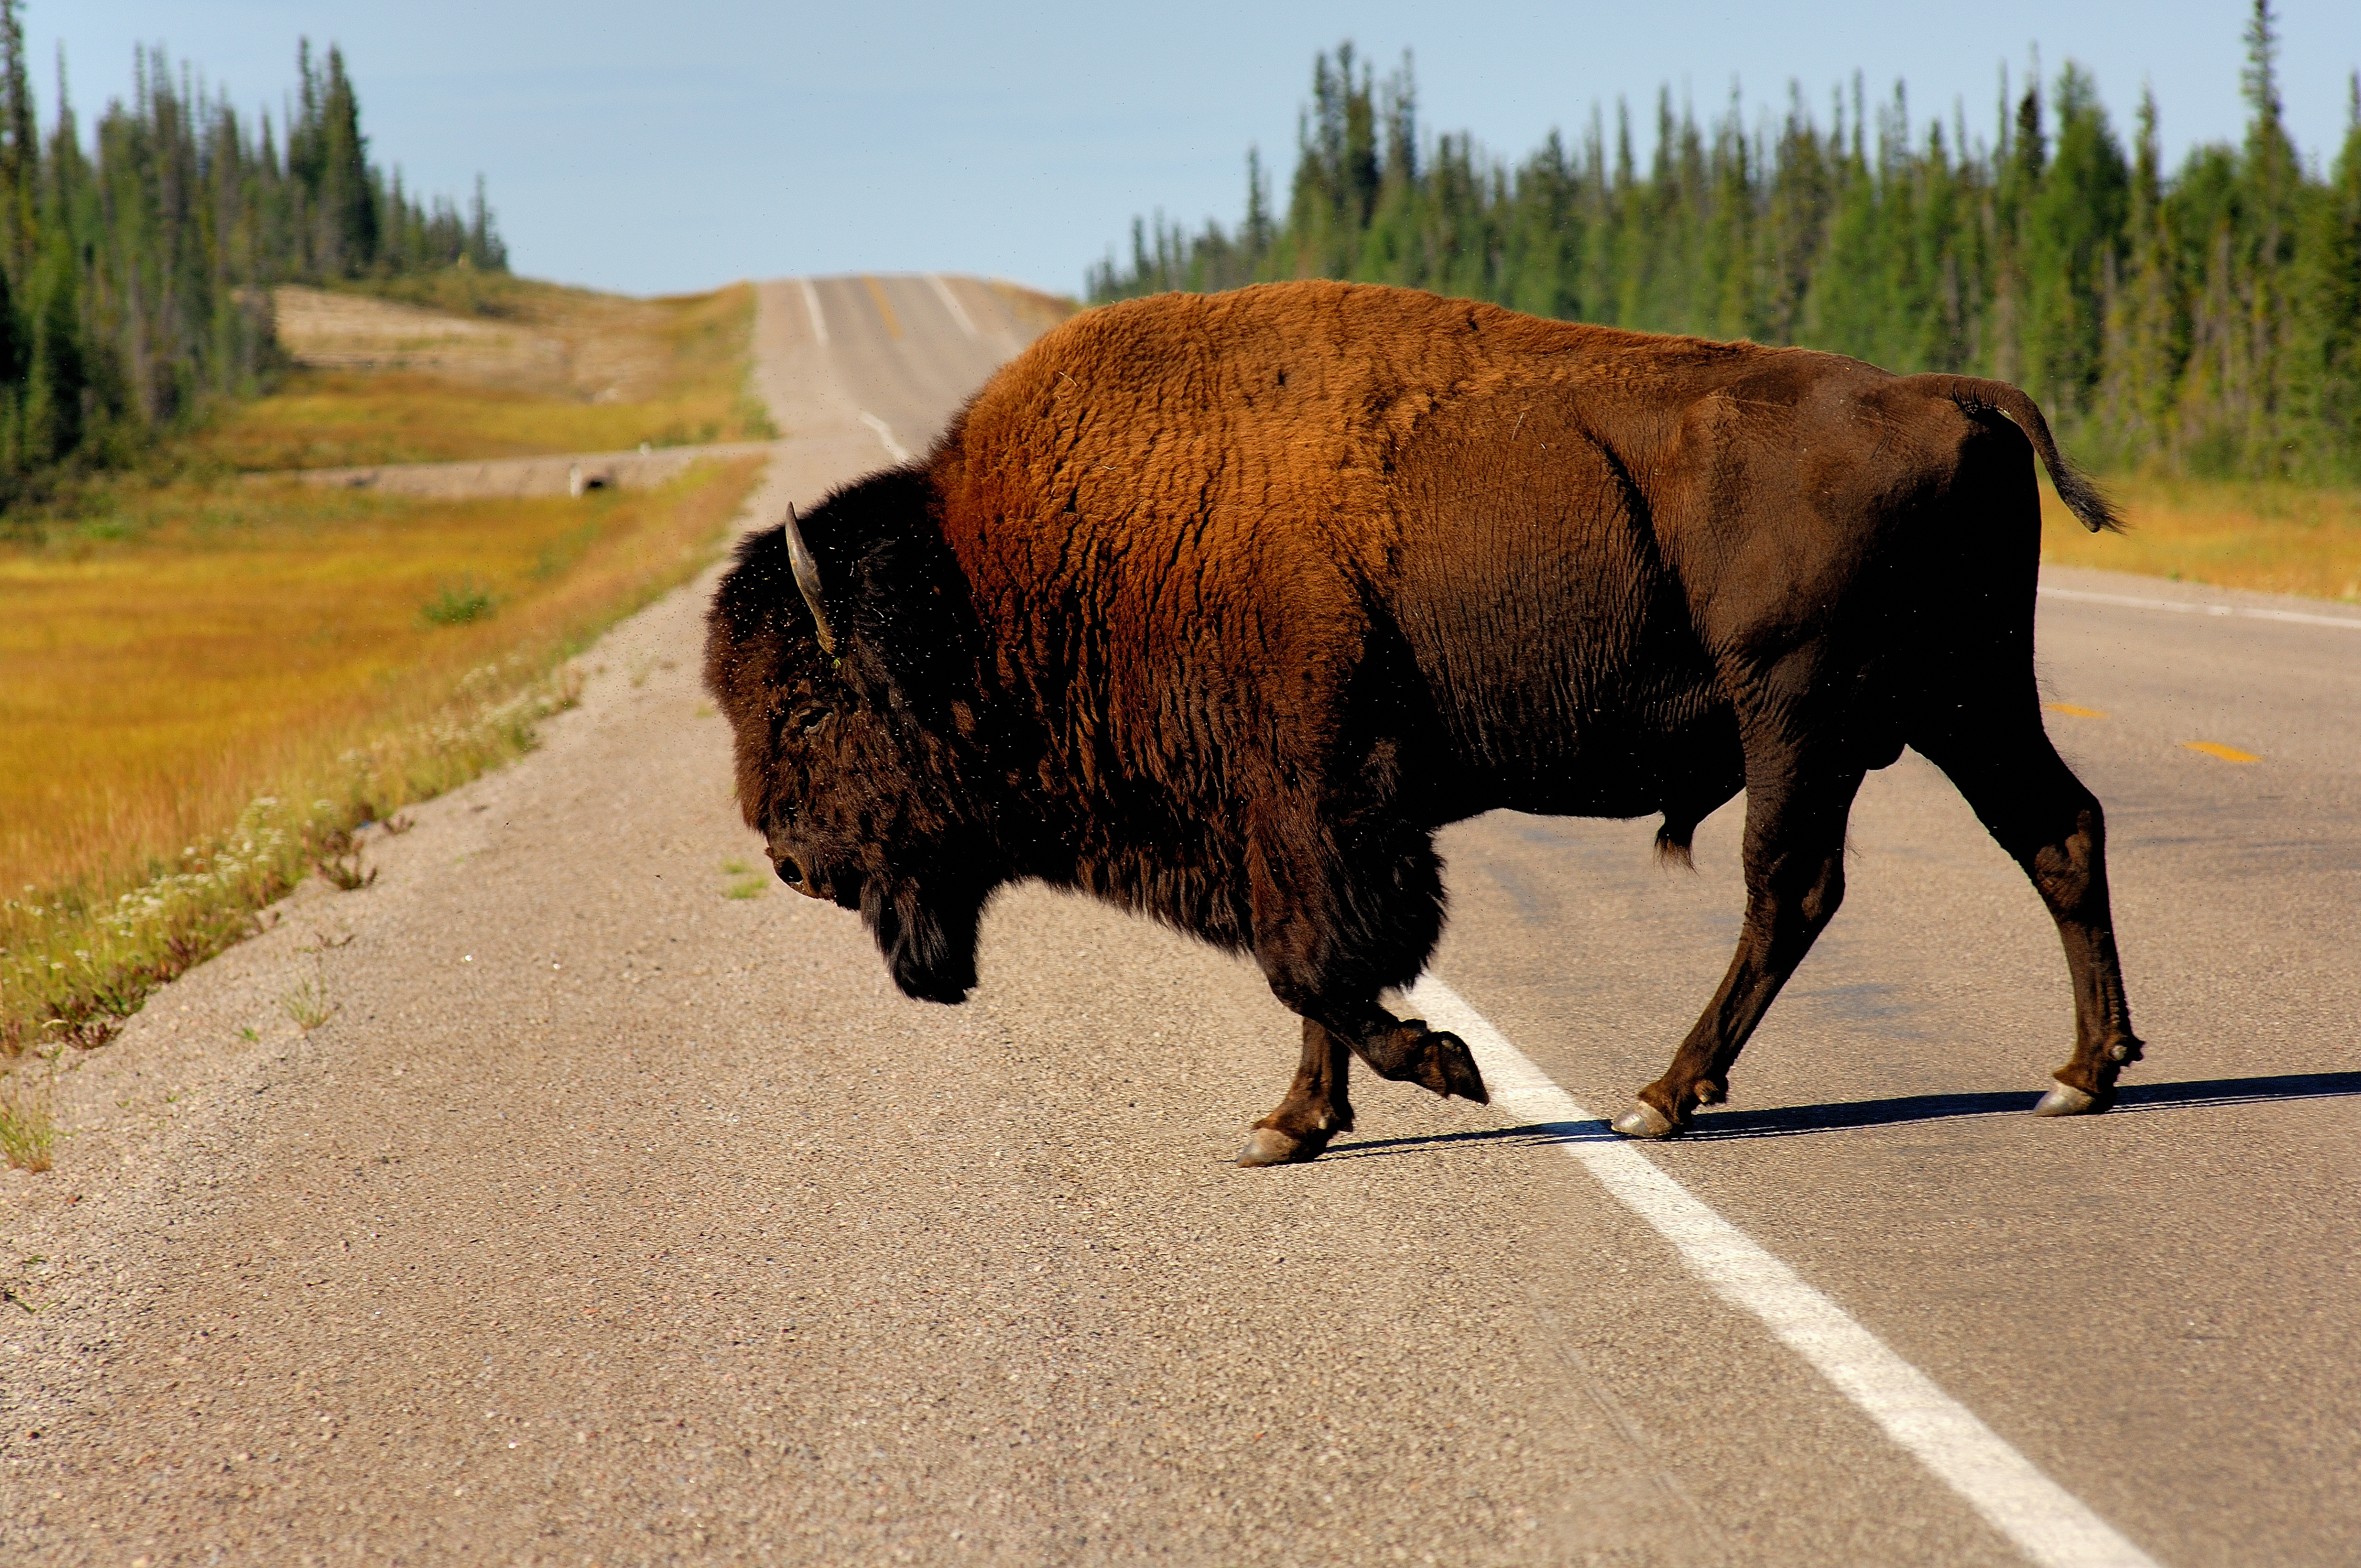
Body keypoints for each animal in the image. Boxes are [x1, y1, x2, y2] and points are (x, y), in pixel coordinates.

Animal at [704, 280, 2143, 1163]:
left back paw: (1660, 1098)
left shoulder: (1316, 801)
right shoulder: (1281, 823)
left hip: (1799, 716)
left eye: (808, 703)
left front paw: (1442, 1066)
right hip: (1962, 699)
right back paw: (2083, 1069)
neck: (996, 584)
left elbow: (1314, 965)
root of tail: (1942, 393)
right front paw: (1290, 1121)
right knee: (2056, 829)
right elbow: (1307, 968)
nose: (787, 856)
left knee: (1788, 889)